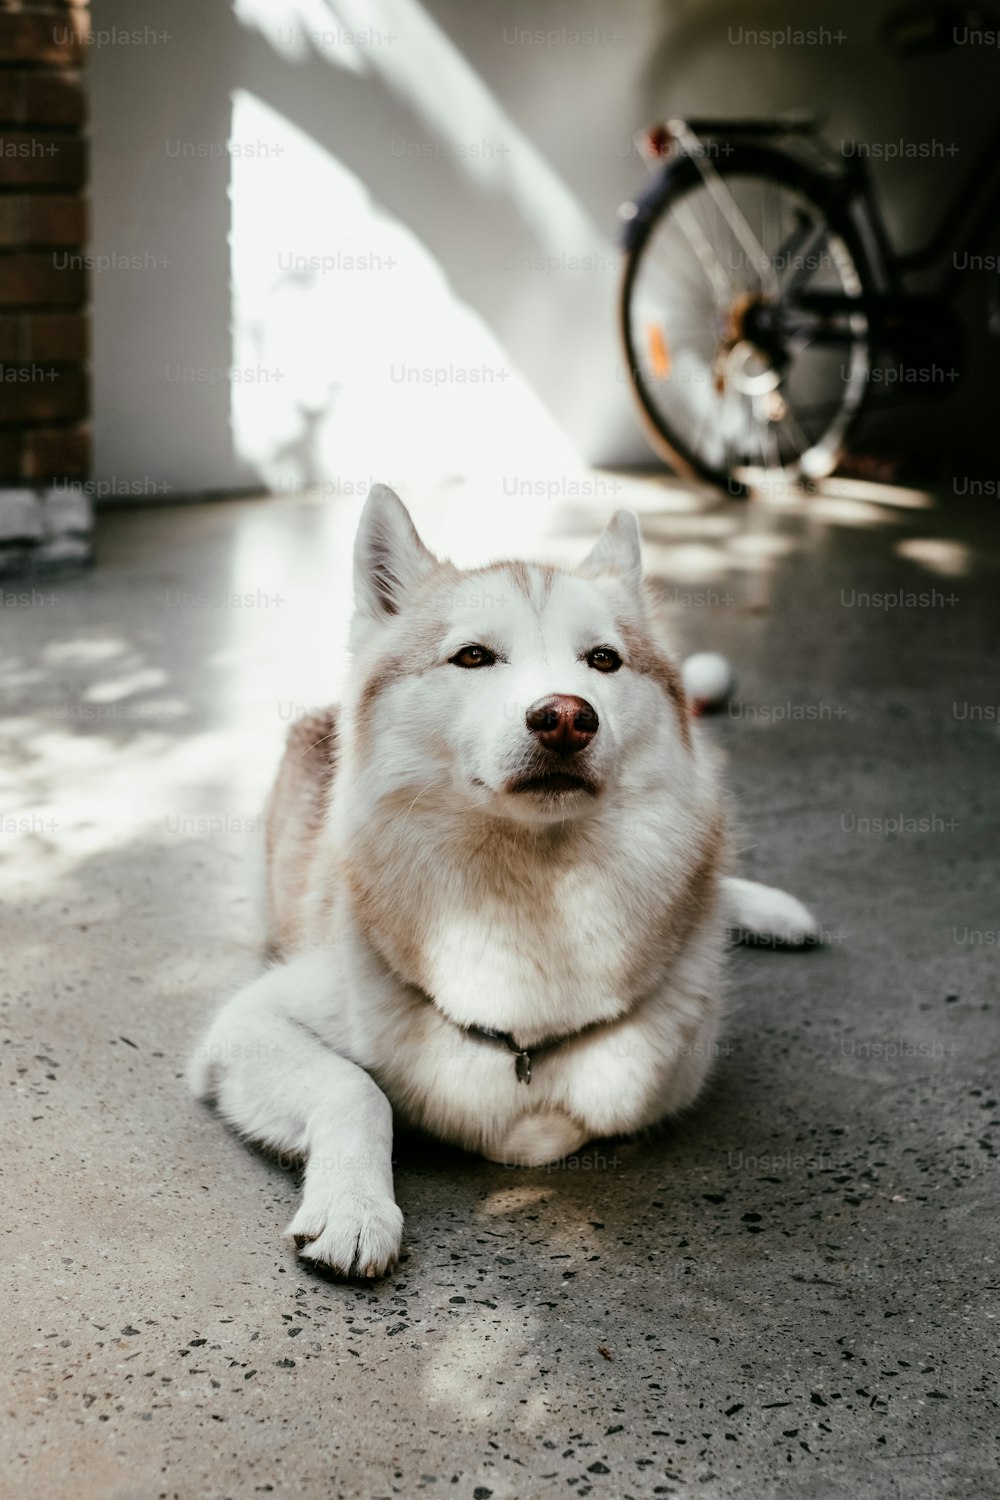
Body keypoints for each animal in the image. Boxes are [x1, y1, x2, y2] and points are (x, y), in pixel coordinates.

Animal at [187, 489, 815, 1278]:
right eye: (473, 656)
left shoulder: (661, 1067)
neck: (532, 891)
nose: (567, 717)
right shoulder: (245, 1028)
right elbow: (358, 1088)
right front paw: (355, 1210)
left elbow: (557, 1119)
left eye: (603, 660)